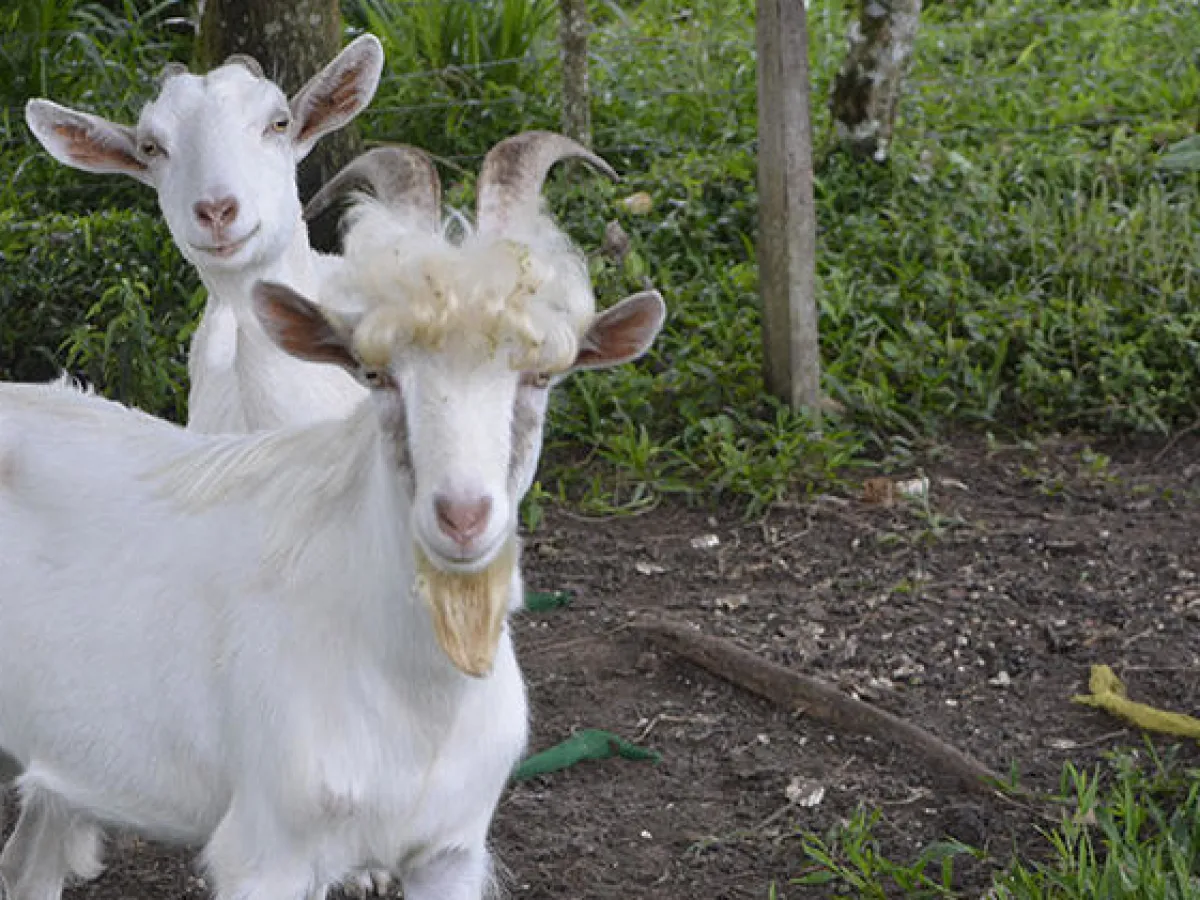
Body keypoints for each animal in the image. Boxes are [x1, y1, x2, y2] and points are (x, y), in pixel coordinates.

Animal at [0, 133, 666, 900]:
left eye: (542, 376)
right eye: (377, 375)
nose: (462, 516)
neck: (416, 696)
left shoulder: (450, 850)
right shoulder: (267, 852)